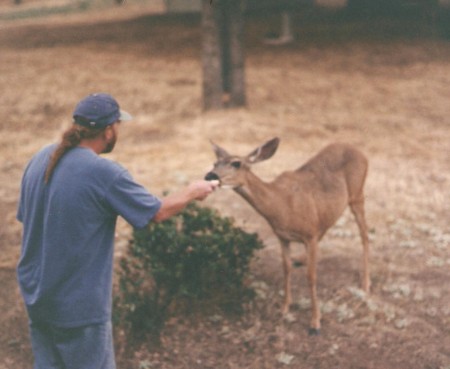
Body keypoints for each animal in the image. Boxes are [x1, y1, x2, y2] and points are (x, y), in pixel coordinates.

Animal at [206, 137, 370, 334]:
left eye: (236, 163)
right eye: (215, 163)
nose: (210, 176)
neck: (281, 205)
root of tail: (359, 151)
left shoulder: (310, 234)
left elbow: (311, 276)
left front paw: (315, 322)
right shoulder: (283, 236)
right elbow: (285, 268)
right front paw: (284, 308)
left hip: (357, 194)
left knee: (365, 234)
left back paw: (365, 285)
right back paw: (301, 259)